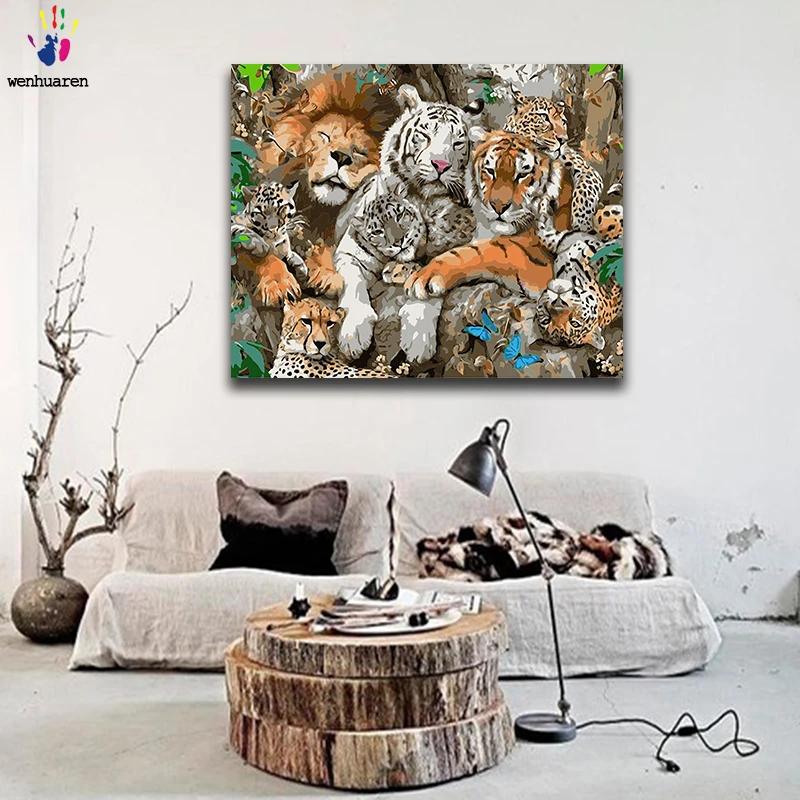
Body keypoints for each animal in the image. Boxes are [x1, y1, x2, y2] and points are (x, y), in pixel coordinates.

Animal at [505, 91, 604, 234]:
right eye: (543, 117)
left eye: (563, 122)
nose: (563, 140)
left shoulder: (585, 168)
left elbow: (585, 191)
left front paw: (582, 222)